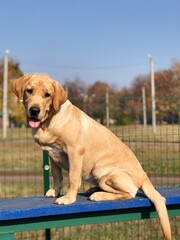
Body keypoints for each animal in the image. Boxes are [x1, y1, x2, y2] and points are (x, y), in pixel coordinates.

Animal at [13, 74, 172, 239]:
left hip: (105, 175)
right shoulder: (51, 154)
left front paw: (68, 198)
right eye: (29, 91)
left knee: (129, 194)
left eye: (47, 95)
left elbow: (73, 178)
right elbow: (57, 176)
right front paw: (55, 192)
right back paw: (93, 190)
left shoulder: (75, 152)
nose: (34, 110)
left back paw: (99, 195)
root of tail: (144, 175)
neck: (49, 121)